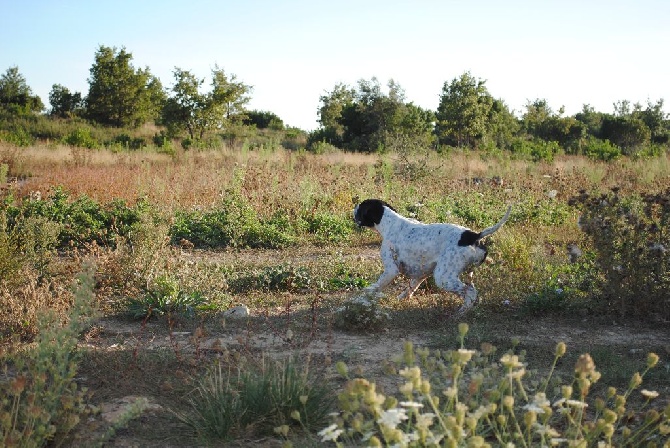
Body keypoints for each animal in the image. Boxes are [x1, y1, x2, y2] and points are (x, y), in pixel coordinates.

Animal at [354, 200, 512, 316]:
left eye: (360, 207)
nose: (354, 207)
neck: (390, 223)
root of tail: (474, 236)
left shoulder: (391, 270)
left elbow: (374, 287)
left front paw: (360, 298)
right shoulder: (421, 273)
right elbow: (410, 288)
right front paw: (400, 298)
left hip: (443, 277)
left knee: (470, 293)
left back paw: (459, 314)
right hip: (466, 274)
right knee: (471, 291)